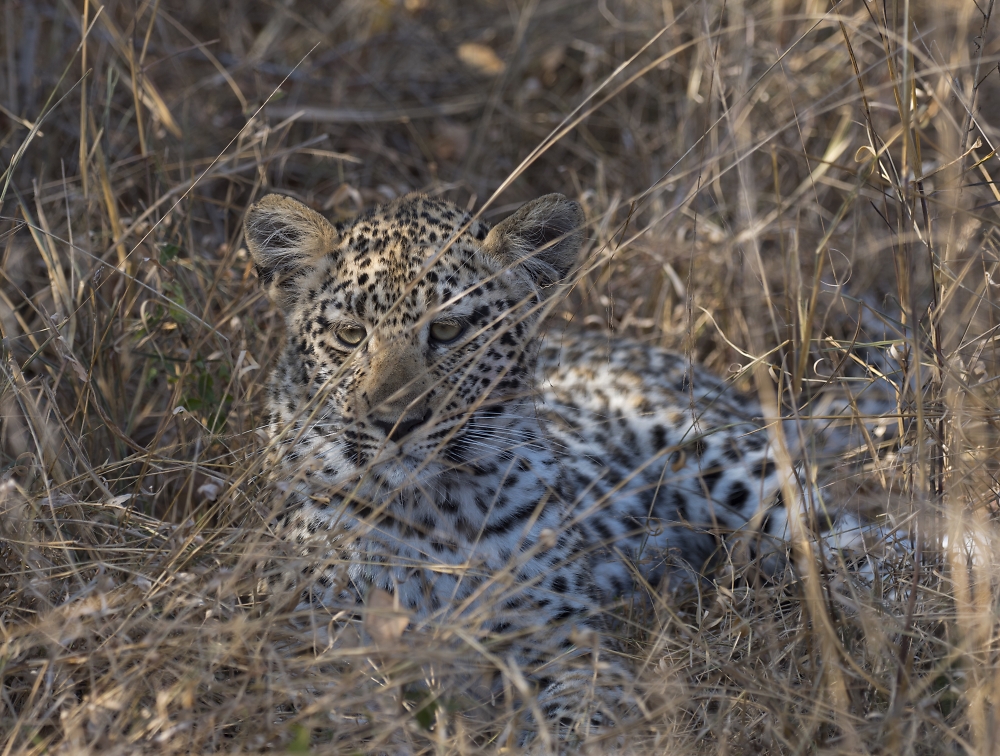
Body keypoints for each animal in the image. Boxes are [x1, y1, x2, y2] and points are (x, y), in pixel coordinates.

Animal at [243, 191, 889, 744]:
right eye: (350, 335)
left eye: (449, 330)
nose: (396, 423)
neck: (432, 509)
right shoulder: (316, 644)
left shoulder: (562, 643)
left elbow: (577, 717)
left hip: (739, 469)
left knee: (868, 549)